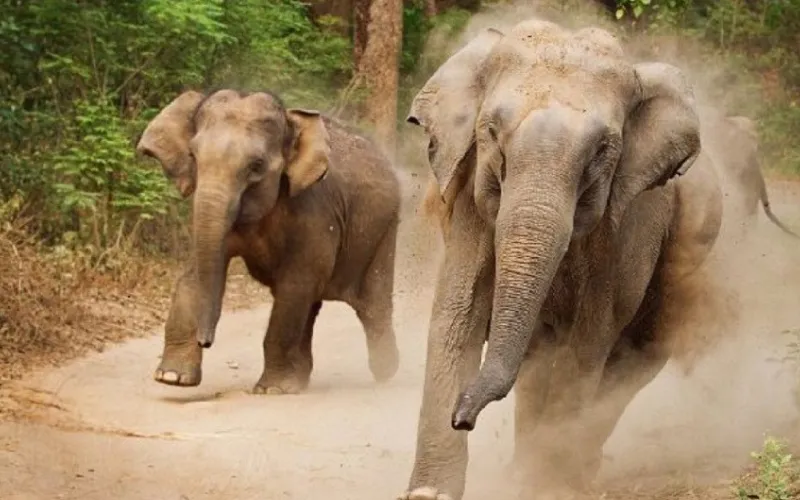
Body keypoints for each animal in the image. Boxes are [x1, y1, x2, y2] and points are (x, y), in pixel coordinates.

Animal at [135, 89, 402, 394]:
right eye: (193, 155)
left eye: (256, 166)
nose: (206, 340)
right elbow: (192, 277)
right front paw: (171, 378)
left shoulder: (316, 211)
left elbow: (297, 283)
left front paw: (271, 389)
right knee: (312, 306)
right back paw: (302, 379)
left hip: (385, 230)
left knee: (371, 303)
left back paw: (385, 371)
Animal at [398, 20, 724, 500]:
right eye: (490, 132)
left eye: (603, 149)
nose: (462, 417)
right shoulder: (471, 198)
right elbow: (459, 314)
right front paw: (429, 493)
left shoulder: (624, 224)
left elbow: (589, 335)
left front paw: (547, 484)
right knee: (543, 356)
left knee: (632, 357)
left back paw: (572, 471)